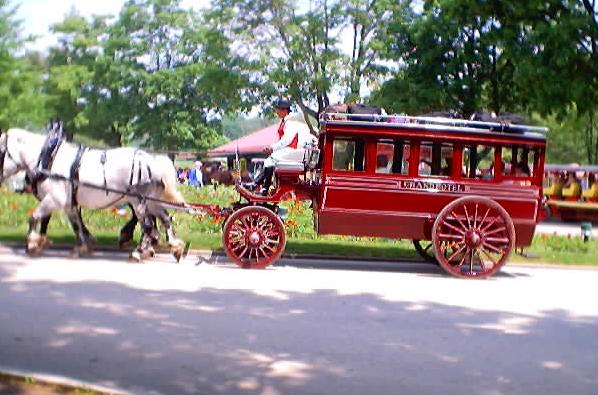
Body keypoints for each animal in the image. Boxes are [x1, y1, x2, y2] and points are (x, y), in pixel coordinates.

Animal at [0, 127, 188, 262]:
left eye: (1, 153)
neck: (49, 158)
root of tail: (154, 161)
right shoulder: (68, 203)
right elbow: (76, 225)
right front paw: (82, 246)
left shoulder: (55, 199)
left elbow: (34, 217)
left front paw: (32, 243)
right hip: (150, 201)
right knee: (165, 217)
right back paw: (175, 247)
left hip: (138, 201)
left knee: (148, 225)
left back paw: (138, 252)